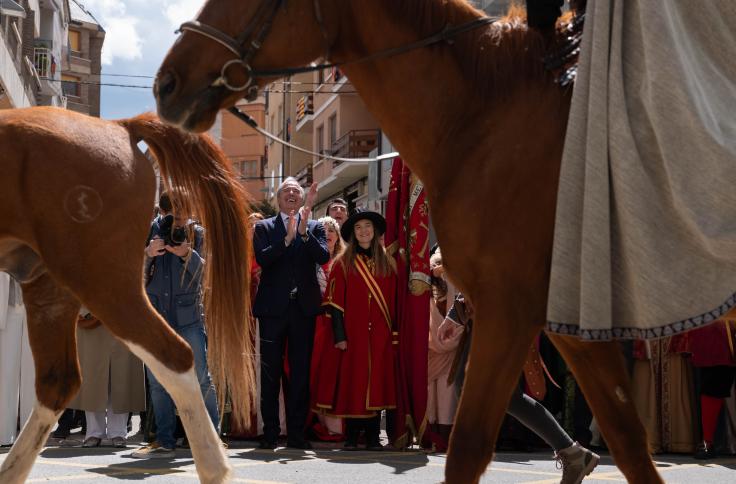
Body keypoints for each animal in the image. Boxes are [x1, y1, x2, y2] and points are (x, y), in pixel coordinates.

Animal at [0, 108, 254, 482]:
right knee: (57, 383)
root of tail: (120, 127)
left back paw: (214, 466)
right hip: (52, 289)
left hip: (104, 282)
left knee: (176, 356)